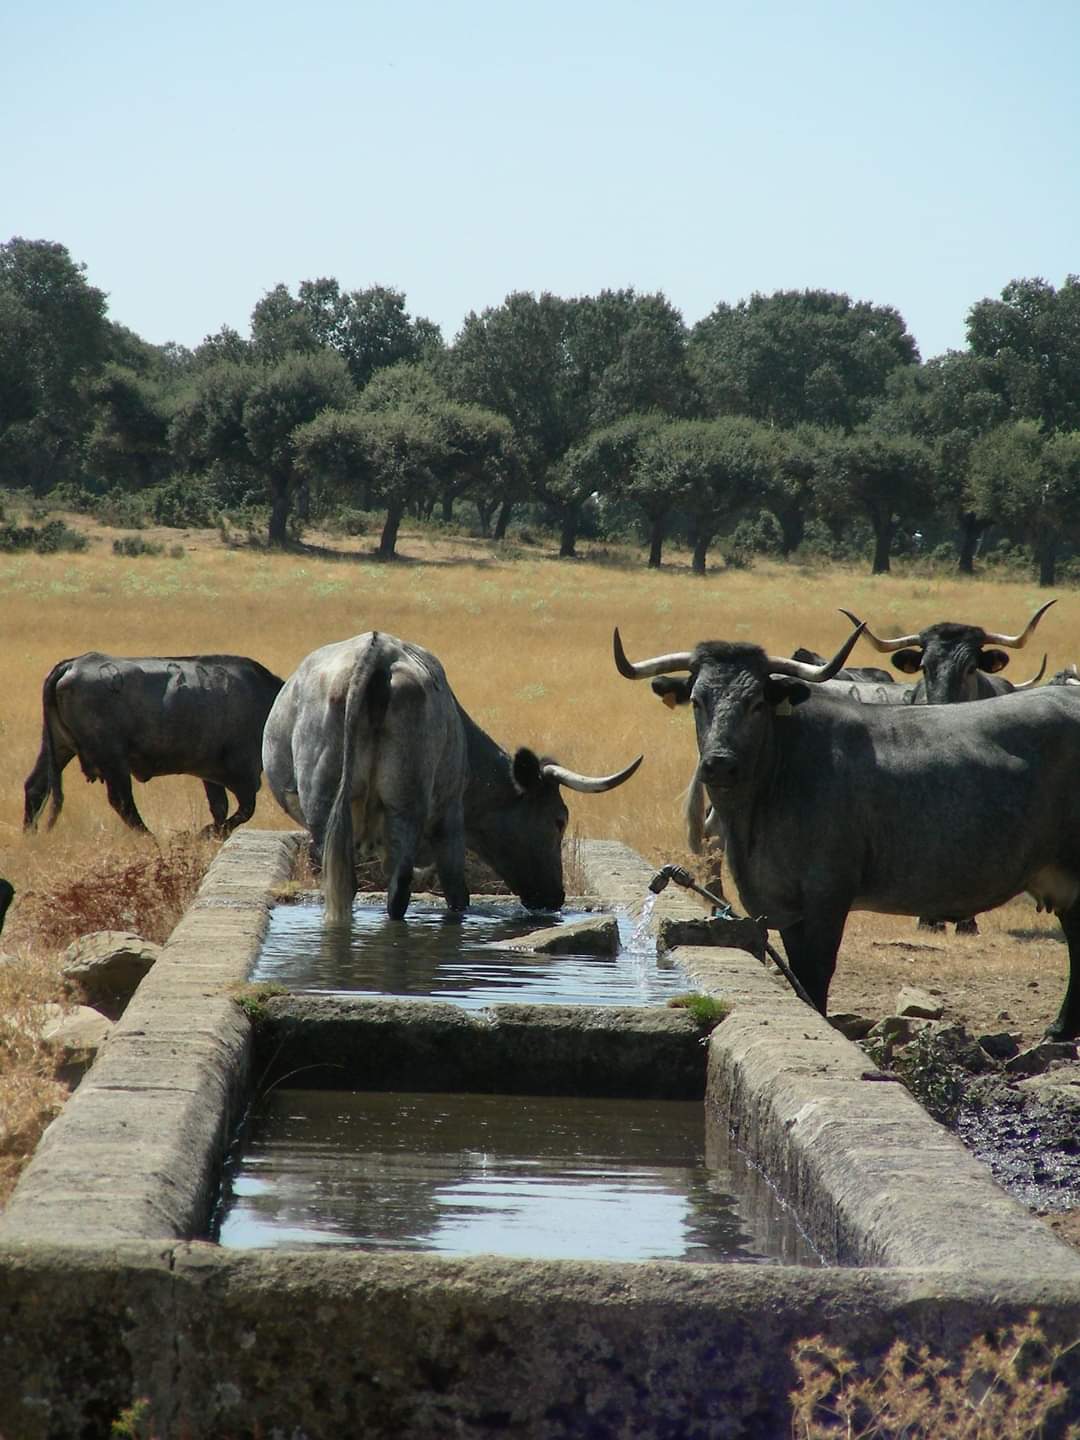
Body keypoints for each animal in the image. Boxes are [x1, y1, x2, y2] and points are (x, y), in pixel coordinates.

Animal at [23, 650, 285, 835]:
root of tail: (72, 664)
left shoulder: (211, 775)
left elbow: (220, 809)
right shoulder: (244, 775)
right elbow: (244, 810)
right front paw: (204, 833)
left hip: (58, 747)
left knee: (36, 787)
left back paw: (30, 835)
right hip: (112, 759)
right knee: (122, 801)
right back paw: (152, 837)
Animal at [263, 633, 648, 921]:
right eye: (559, 820)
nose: (556, 896)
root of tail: (377, 653)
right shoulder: (450, 813)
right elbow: (456, 891)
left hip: (328, 809)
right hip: (410, 805)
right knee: (402, 888)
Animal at [613, 624, 1080, 1042]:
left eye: (756, 702)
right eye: (697, 700)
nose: (720, 763)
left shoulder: (827, 896)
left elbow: (817, 973)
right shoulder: (784, 905)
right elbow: (800, 970)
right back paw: (1061, 1029)